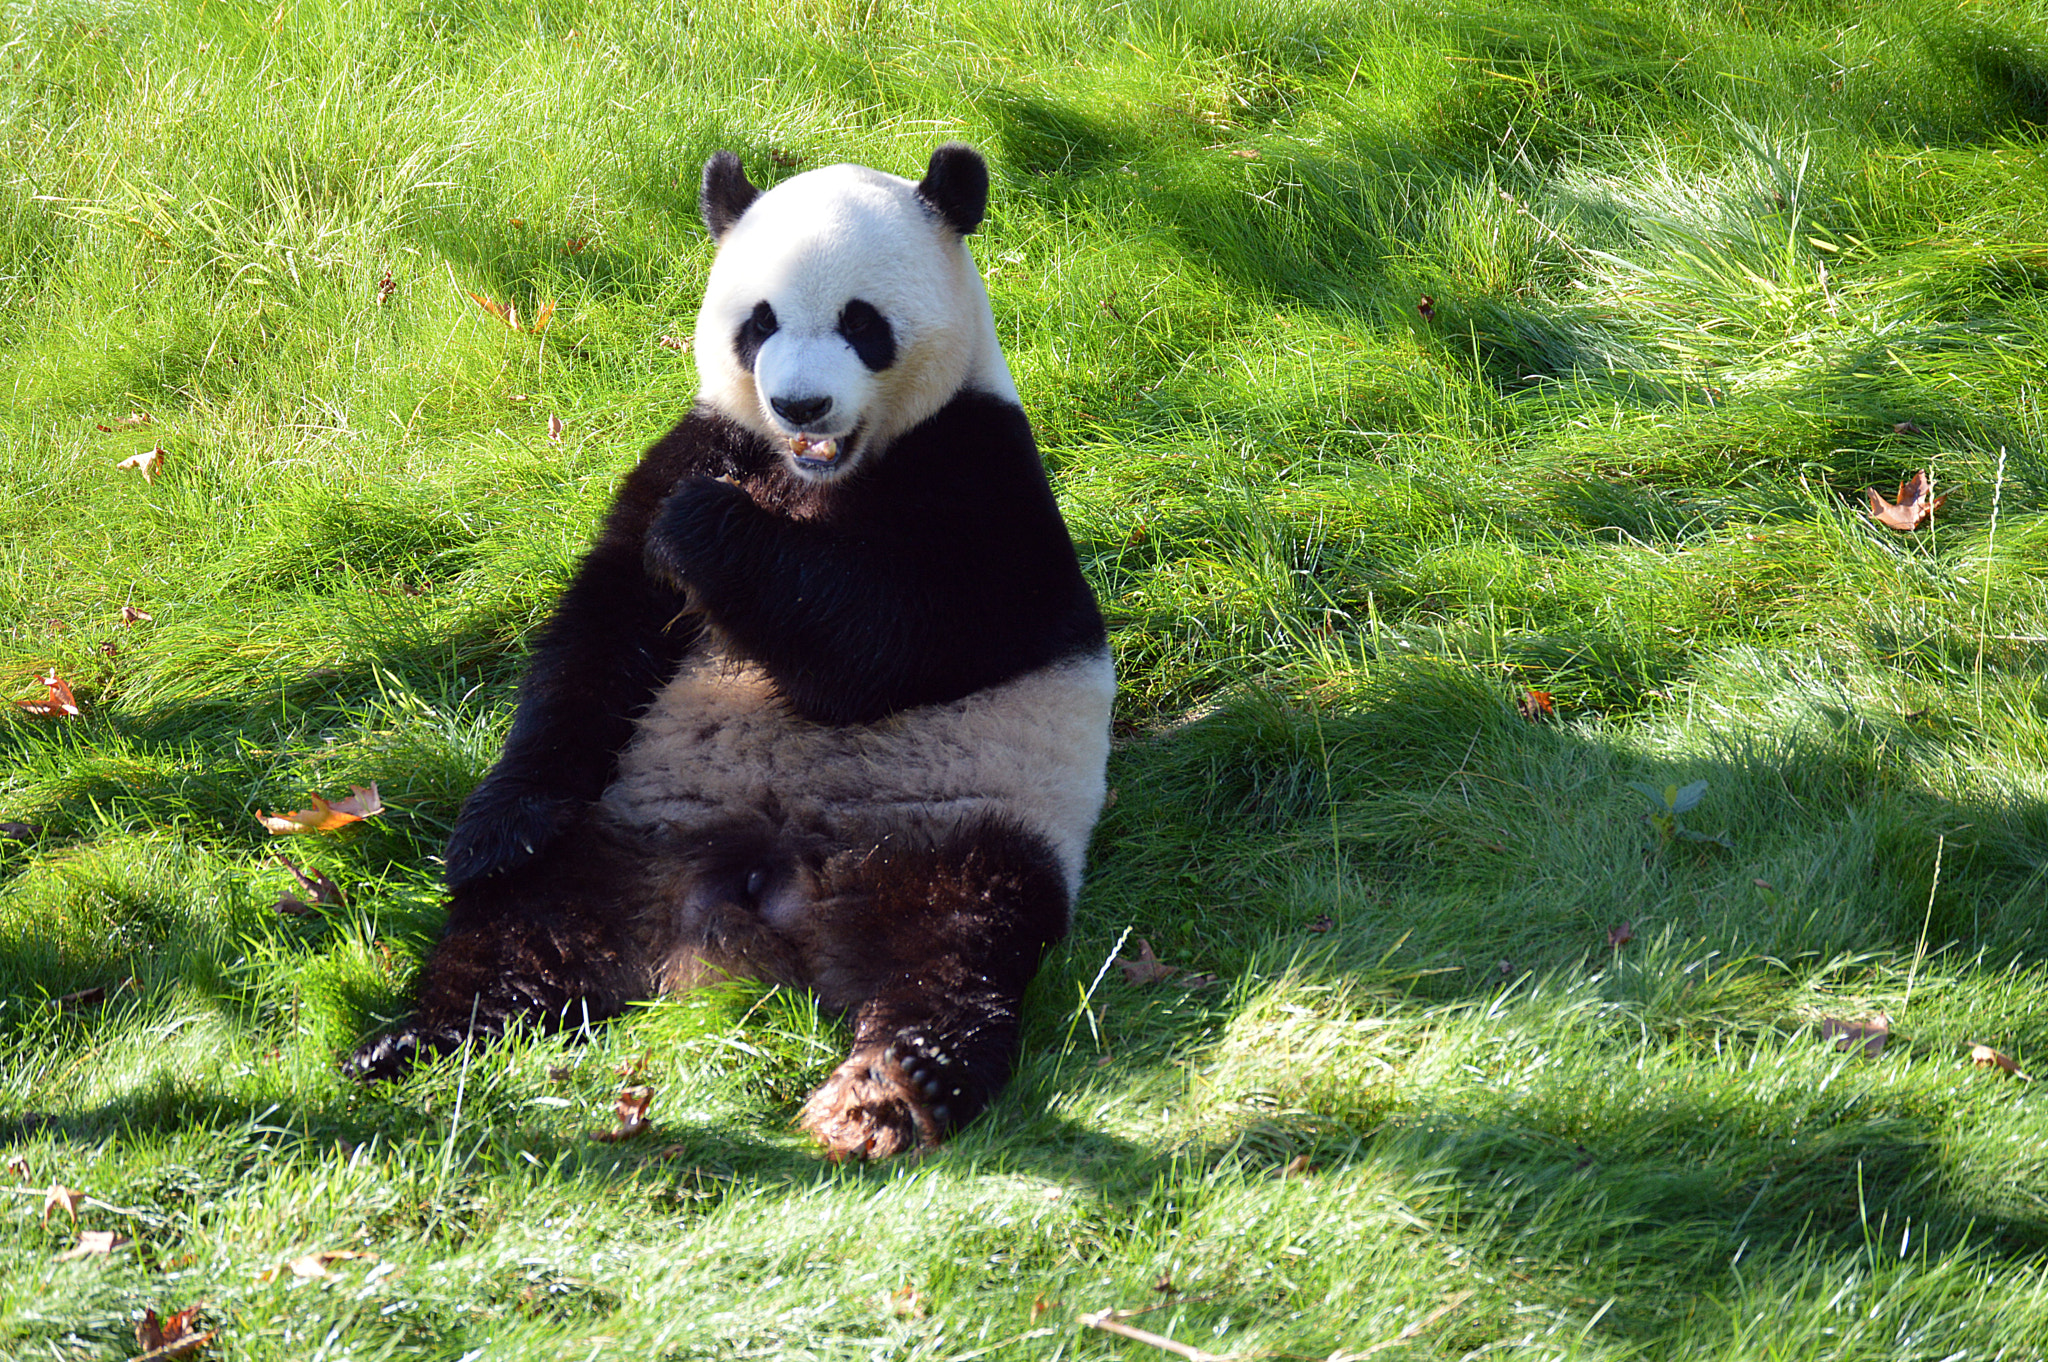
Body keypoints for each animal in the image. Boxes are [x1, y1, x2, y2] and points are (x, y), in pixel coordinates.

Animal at [346, 143, 1115, 1162]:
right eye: (760, 323)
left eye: (862, 324)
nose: (801, 402)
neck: (812, 473)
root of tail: (749, 912)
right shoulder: (698, 441)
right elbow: (598, 635)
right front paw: (493, 828)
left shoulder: (982, 469)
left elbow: (893, 640)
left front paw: (703, 531)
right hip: (623, 830)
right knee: (522, 930)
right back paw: (416, 1036)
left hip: (957, 831)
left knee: (959, 949)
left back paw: (893, 1087)